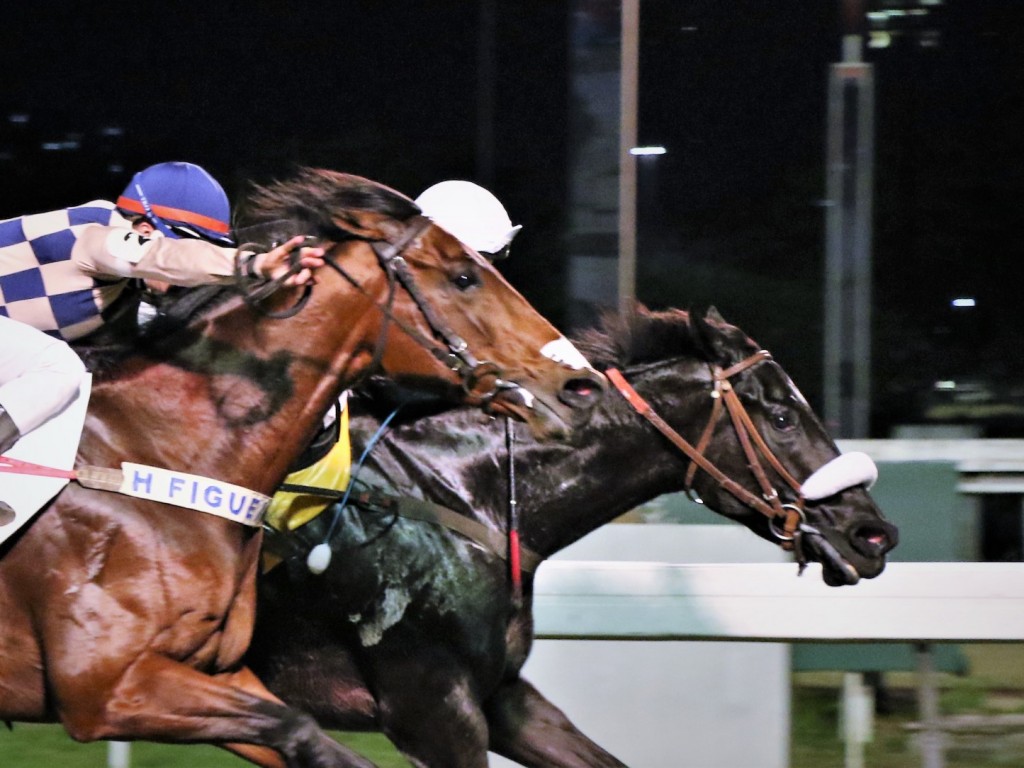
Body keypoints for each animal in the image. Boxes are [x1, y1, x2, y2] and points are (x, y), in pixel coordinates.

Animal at [0, 169, 602, 768]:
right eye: (463, 277)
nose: (581, 386)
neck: (152, 451)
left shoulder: (214, 671)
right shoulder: (107, 690)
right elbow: (299, 729)